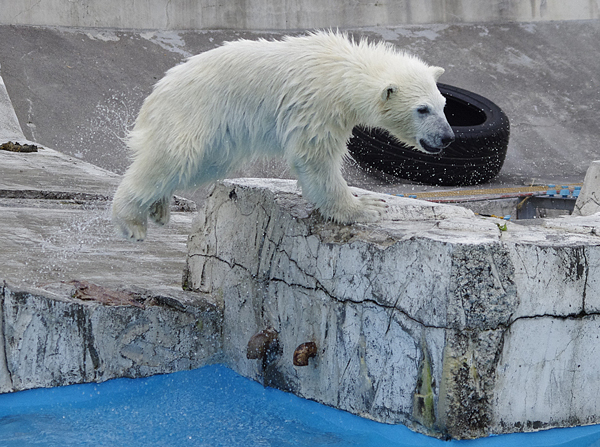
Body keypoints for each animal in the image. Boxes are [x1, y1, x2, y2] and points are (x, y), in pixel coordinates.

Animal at [111, 31, 454, 242]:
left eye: (443, 105)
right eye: (422, 109)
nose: (447, 137)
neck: (342, 68)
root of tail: (156, 94)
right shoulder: (317, 106)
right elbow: (315, 158)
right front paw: (365, 207)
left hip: (216, 140)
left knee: (197, 165)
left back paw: (159, 207)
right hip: (194, 115)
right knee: (174, 158)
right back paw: (132, 220)